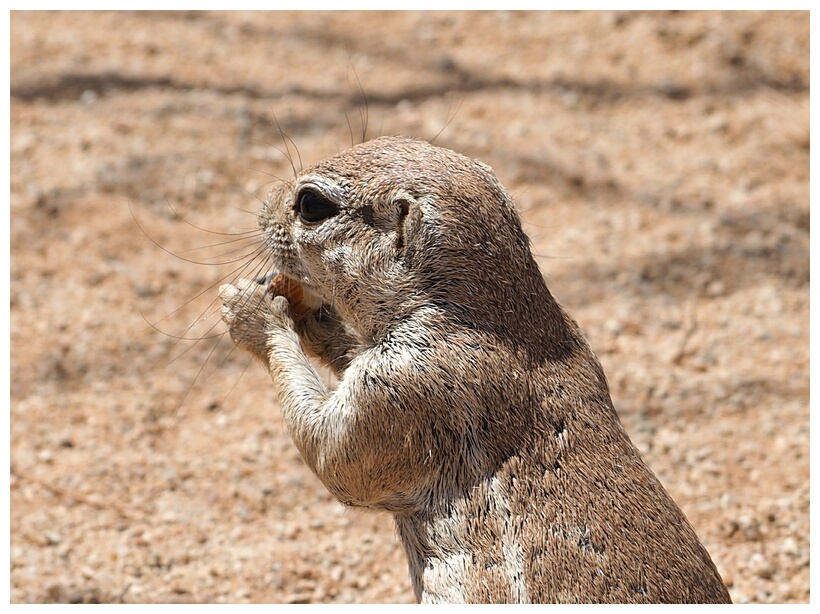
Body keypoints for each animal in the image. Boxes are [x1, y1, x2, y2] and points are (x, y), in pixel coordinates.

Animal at [219, 136, 732, 608]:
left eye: (309, 204)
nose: (262, 208)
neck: (487, 314)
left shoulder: (404, 386)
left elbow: (330, 453)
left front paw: (256, 311)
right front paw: (309, 317)